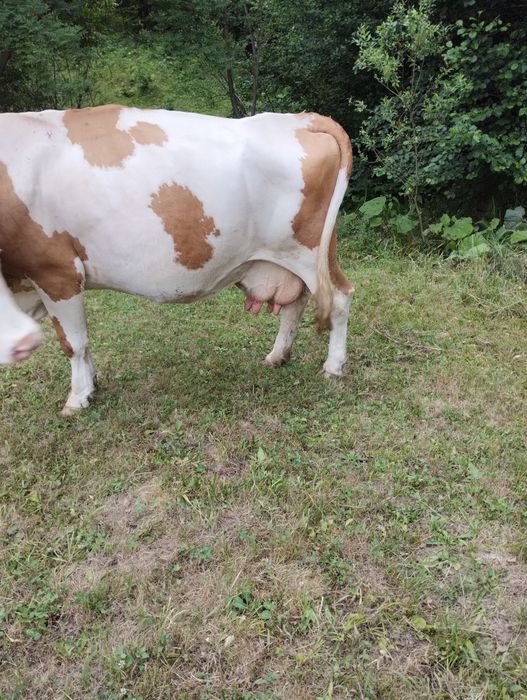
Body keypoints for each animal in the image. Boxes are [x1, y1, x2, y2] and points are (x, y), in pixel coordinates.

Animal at [0, 105, 353, 414]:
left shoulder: (56, 271)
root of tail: (302, 119)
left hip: (307, 253)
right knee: (298, 301)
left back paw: (333, 366)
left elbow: (73, 342)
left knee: (339, 297)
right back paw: (278, 355)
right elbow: (82, 343)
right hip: (302, 257)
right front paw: (92, 384)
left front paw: (77, 398)